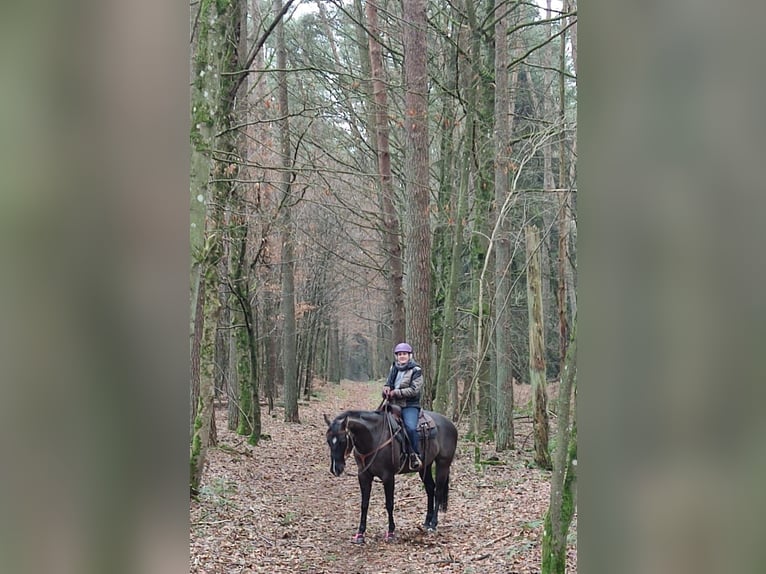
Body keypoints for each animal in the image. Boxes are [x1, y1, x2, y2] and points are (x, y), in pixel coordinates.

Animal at [323, 405, 458, 544]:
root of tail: (450, 423)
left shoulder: (388, 477)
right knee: (430, 489)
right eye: (328, 441)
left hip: (443, 464)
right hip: (425, 465)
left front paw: (391, 532)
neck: (374, 437)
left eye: (342, 440)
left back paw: (433, 524)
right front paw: (360, 533)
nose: (336, 469)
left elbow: (389, 504)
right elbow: (364, 504)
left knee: (438, 492)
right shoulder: (364, 476)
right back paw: (427, 522)